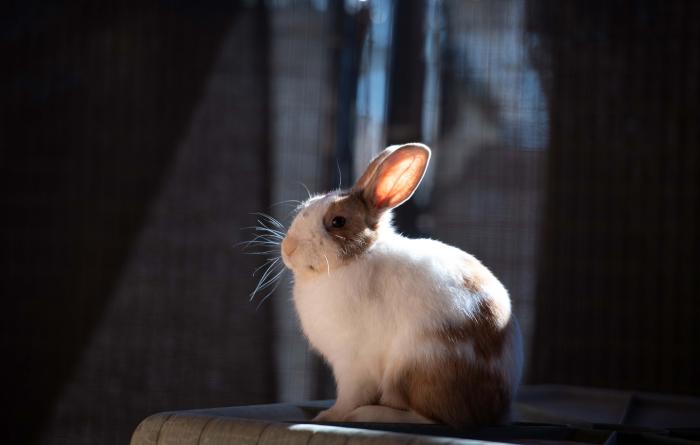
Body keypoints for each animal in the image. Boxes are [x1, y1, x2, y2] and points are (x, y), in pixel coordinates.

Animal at [280, 143, 523, 428]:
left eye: (338, 221)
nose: (288, 248)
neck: (358, 257)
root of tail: (493, 412)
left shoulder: (353, 363)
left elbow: (349, 396)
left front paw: (330, 415)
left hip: (414, 367)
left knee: (435, 418)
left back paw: (367, 414)